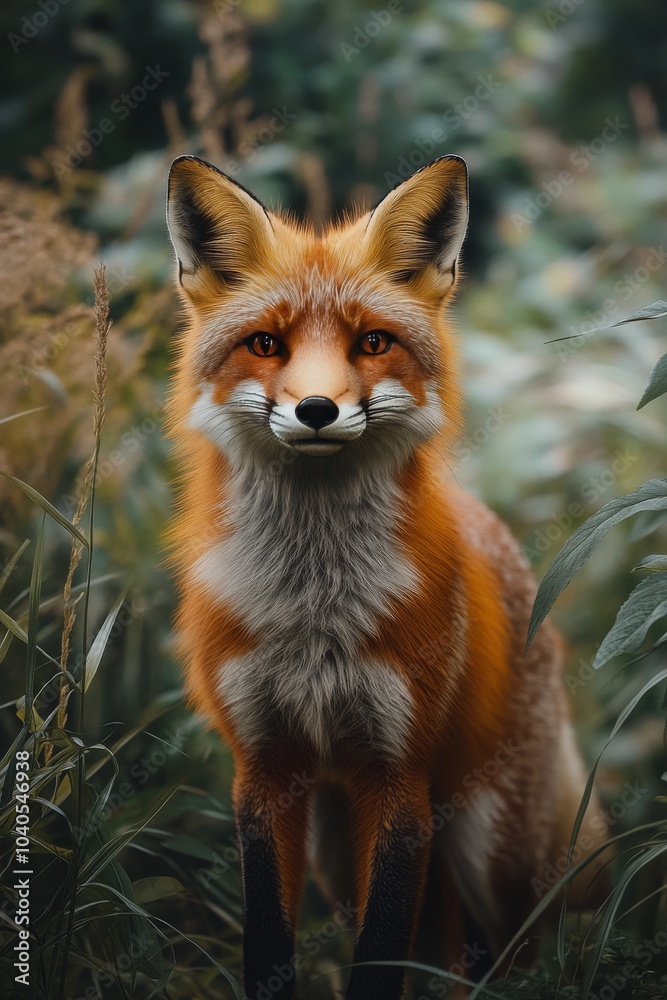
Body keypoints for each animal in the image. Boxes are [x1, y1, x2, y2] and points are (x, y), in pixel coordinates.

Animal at [165, 153, 609, 1000]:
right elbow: (270, 946)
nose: (315, 408)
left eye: (371, 342)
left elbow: (379, 956)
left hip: (484, 846)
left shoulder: (398, 774)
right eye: (266, 344)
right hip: (340, 852)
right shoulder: (263, 769)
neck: (311, 607)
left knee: (504, 952)